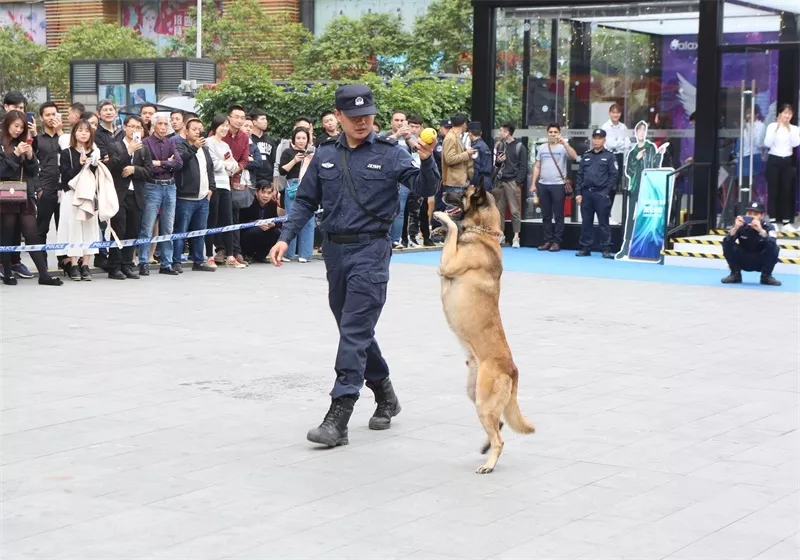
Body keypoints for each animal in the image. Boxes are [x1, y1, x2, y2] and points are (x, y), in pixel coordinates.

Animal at [433, 184, 535, 474]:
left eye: (461, 191)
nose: (441, 191)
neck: (483, 233)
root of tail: (512, 370)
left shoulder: (447, 264)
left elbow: (454, 230)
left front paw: (442, 220)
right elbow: (452, 233)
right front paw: (438, 231)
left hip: (482, 400)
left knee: (500, 437)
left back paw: (489, 464)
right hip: (475, 393)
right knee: (498, 425)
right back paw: (486, 449)